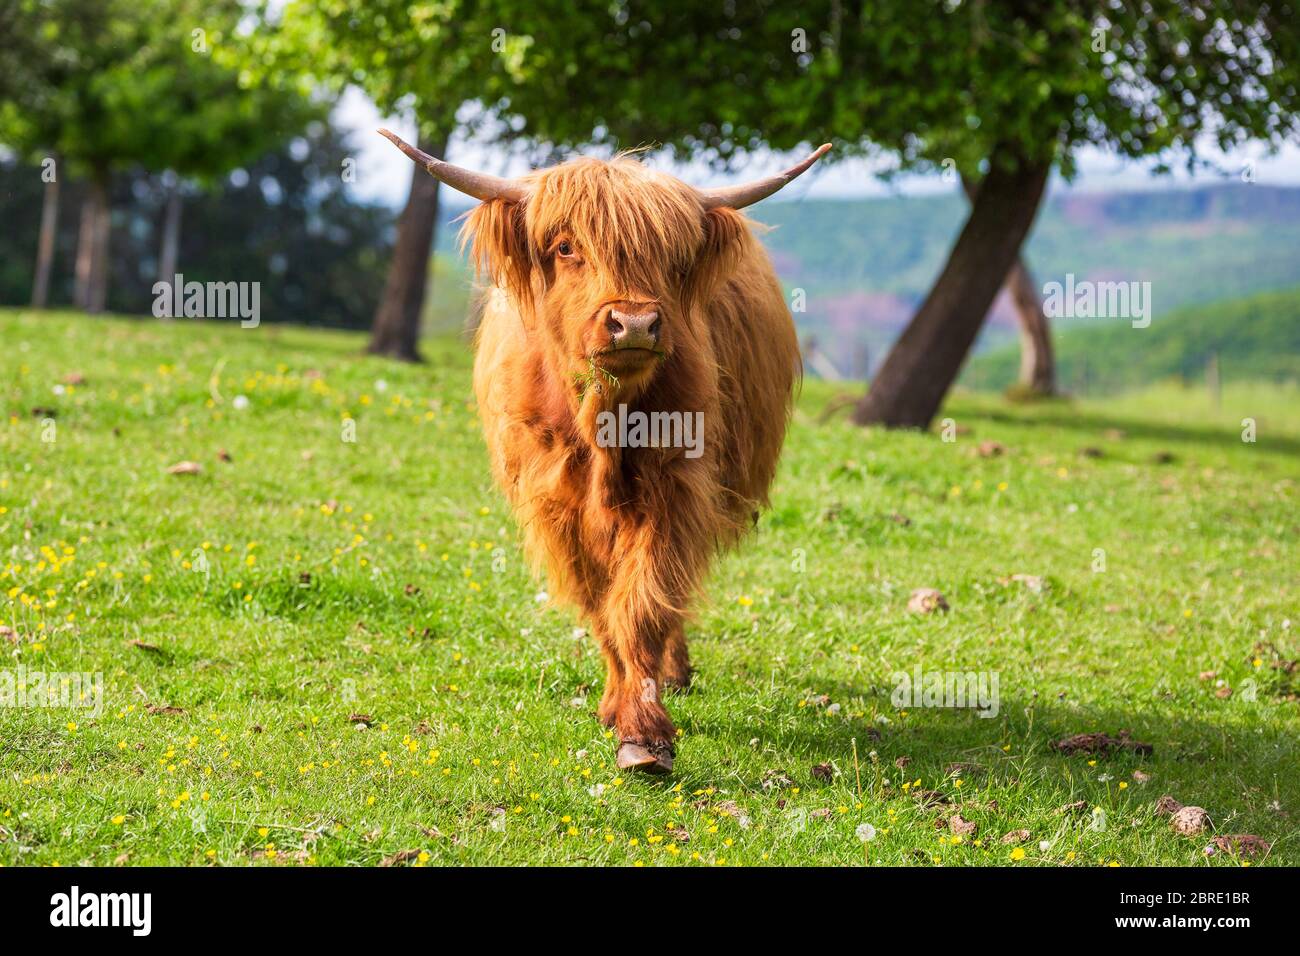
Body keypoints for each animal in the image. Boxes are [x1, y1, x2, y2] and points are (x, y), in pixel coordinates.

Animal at [379, 128, 826, 770]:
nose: (634, 323)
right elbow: (599, 602)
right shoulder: (556, 503)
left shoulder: (675, 485)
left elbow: (644, 600)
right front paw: (621, 706)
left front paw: (643, 732)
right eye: (566, 247)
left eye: (673, 257)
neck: (602, 422)